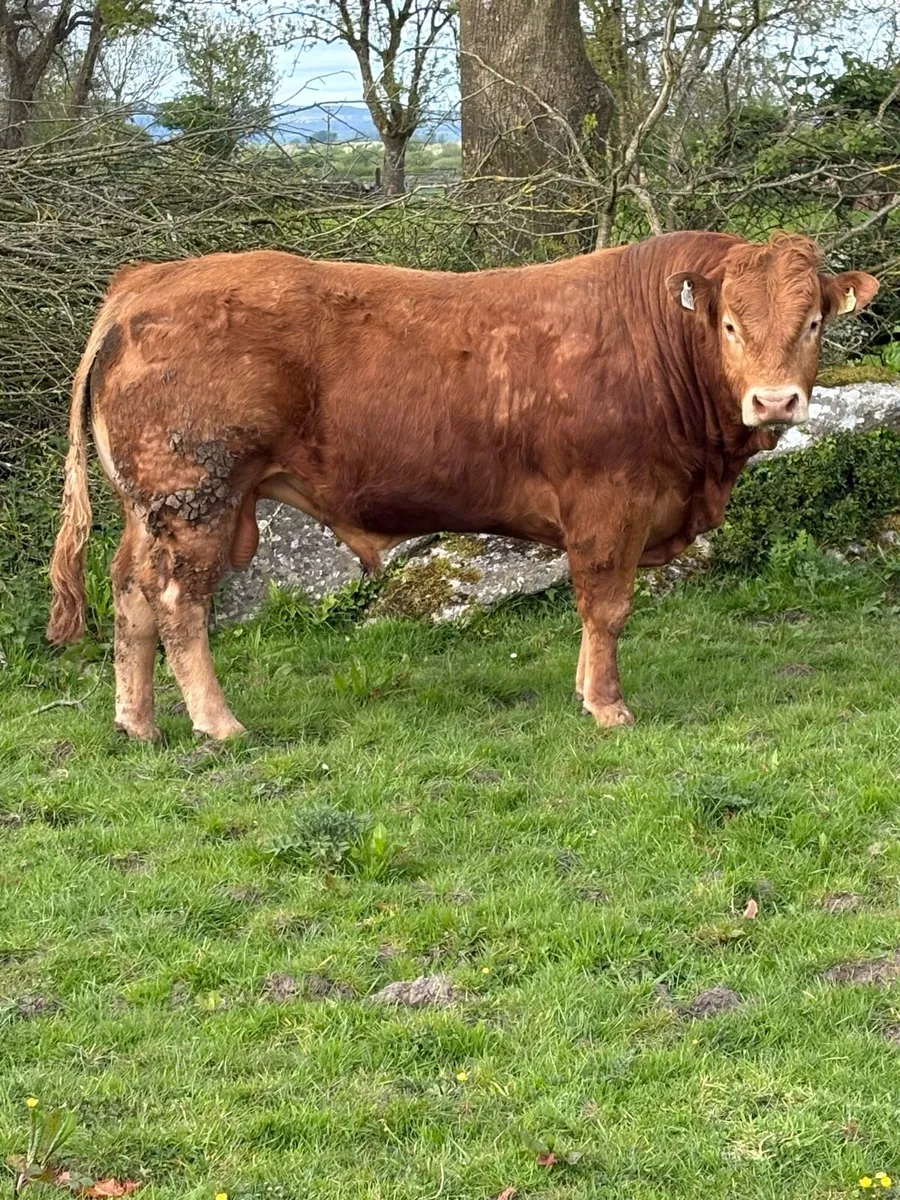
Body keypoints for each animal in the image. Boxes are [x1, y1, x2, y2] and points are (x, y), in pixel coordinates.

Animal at [46, 231, 879, 741]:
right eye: (731, 325)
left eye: (812, 322)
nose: (775, 401)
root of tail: (149, 279)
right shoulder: (609, 502)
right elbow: (606, 608)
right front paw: (609, 707)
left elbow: (588, 614)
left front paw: (583, 691)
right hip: (197, 496)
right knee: (178, 603)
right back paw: (218, 725)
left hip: (151, 508)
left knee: (130, 593)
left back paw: (139, 723)